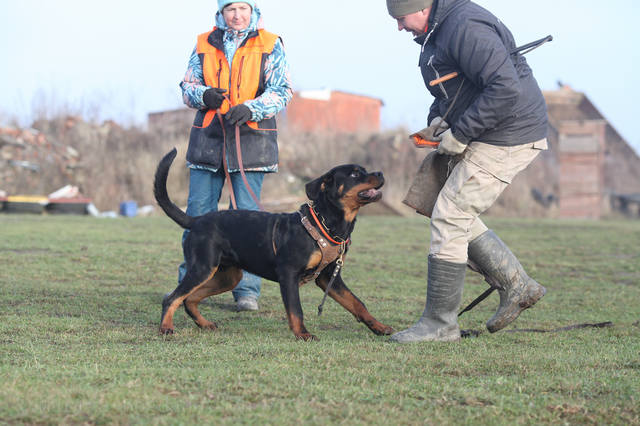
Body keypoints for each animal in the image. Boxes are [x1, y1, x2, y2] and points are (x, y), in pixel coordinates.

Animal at [155, 148, 396, 342]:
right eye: (355, 174)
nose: (381, 173)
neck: (328, 224)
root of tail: (196, 220)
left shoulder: (330, 277)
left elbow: (357, 303)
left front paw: (379, 327)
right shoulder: (288, 273)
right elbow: (296, 309)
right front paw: (303, 334)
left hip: (228, 276)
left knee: (190, 298)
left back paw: (204, 324)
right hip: (203, 268)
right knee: (172, 298)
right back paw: (166, 328)